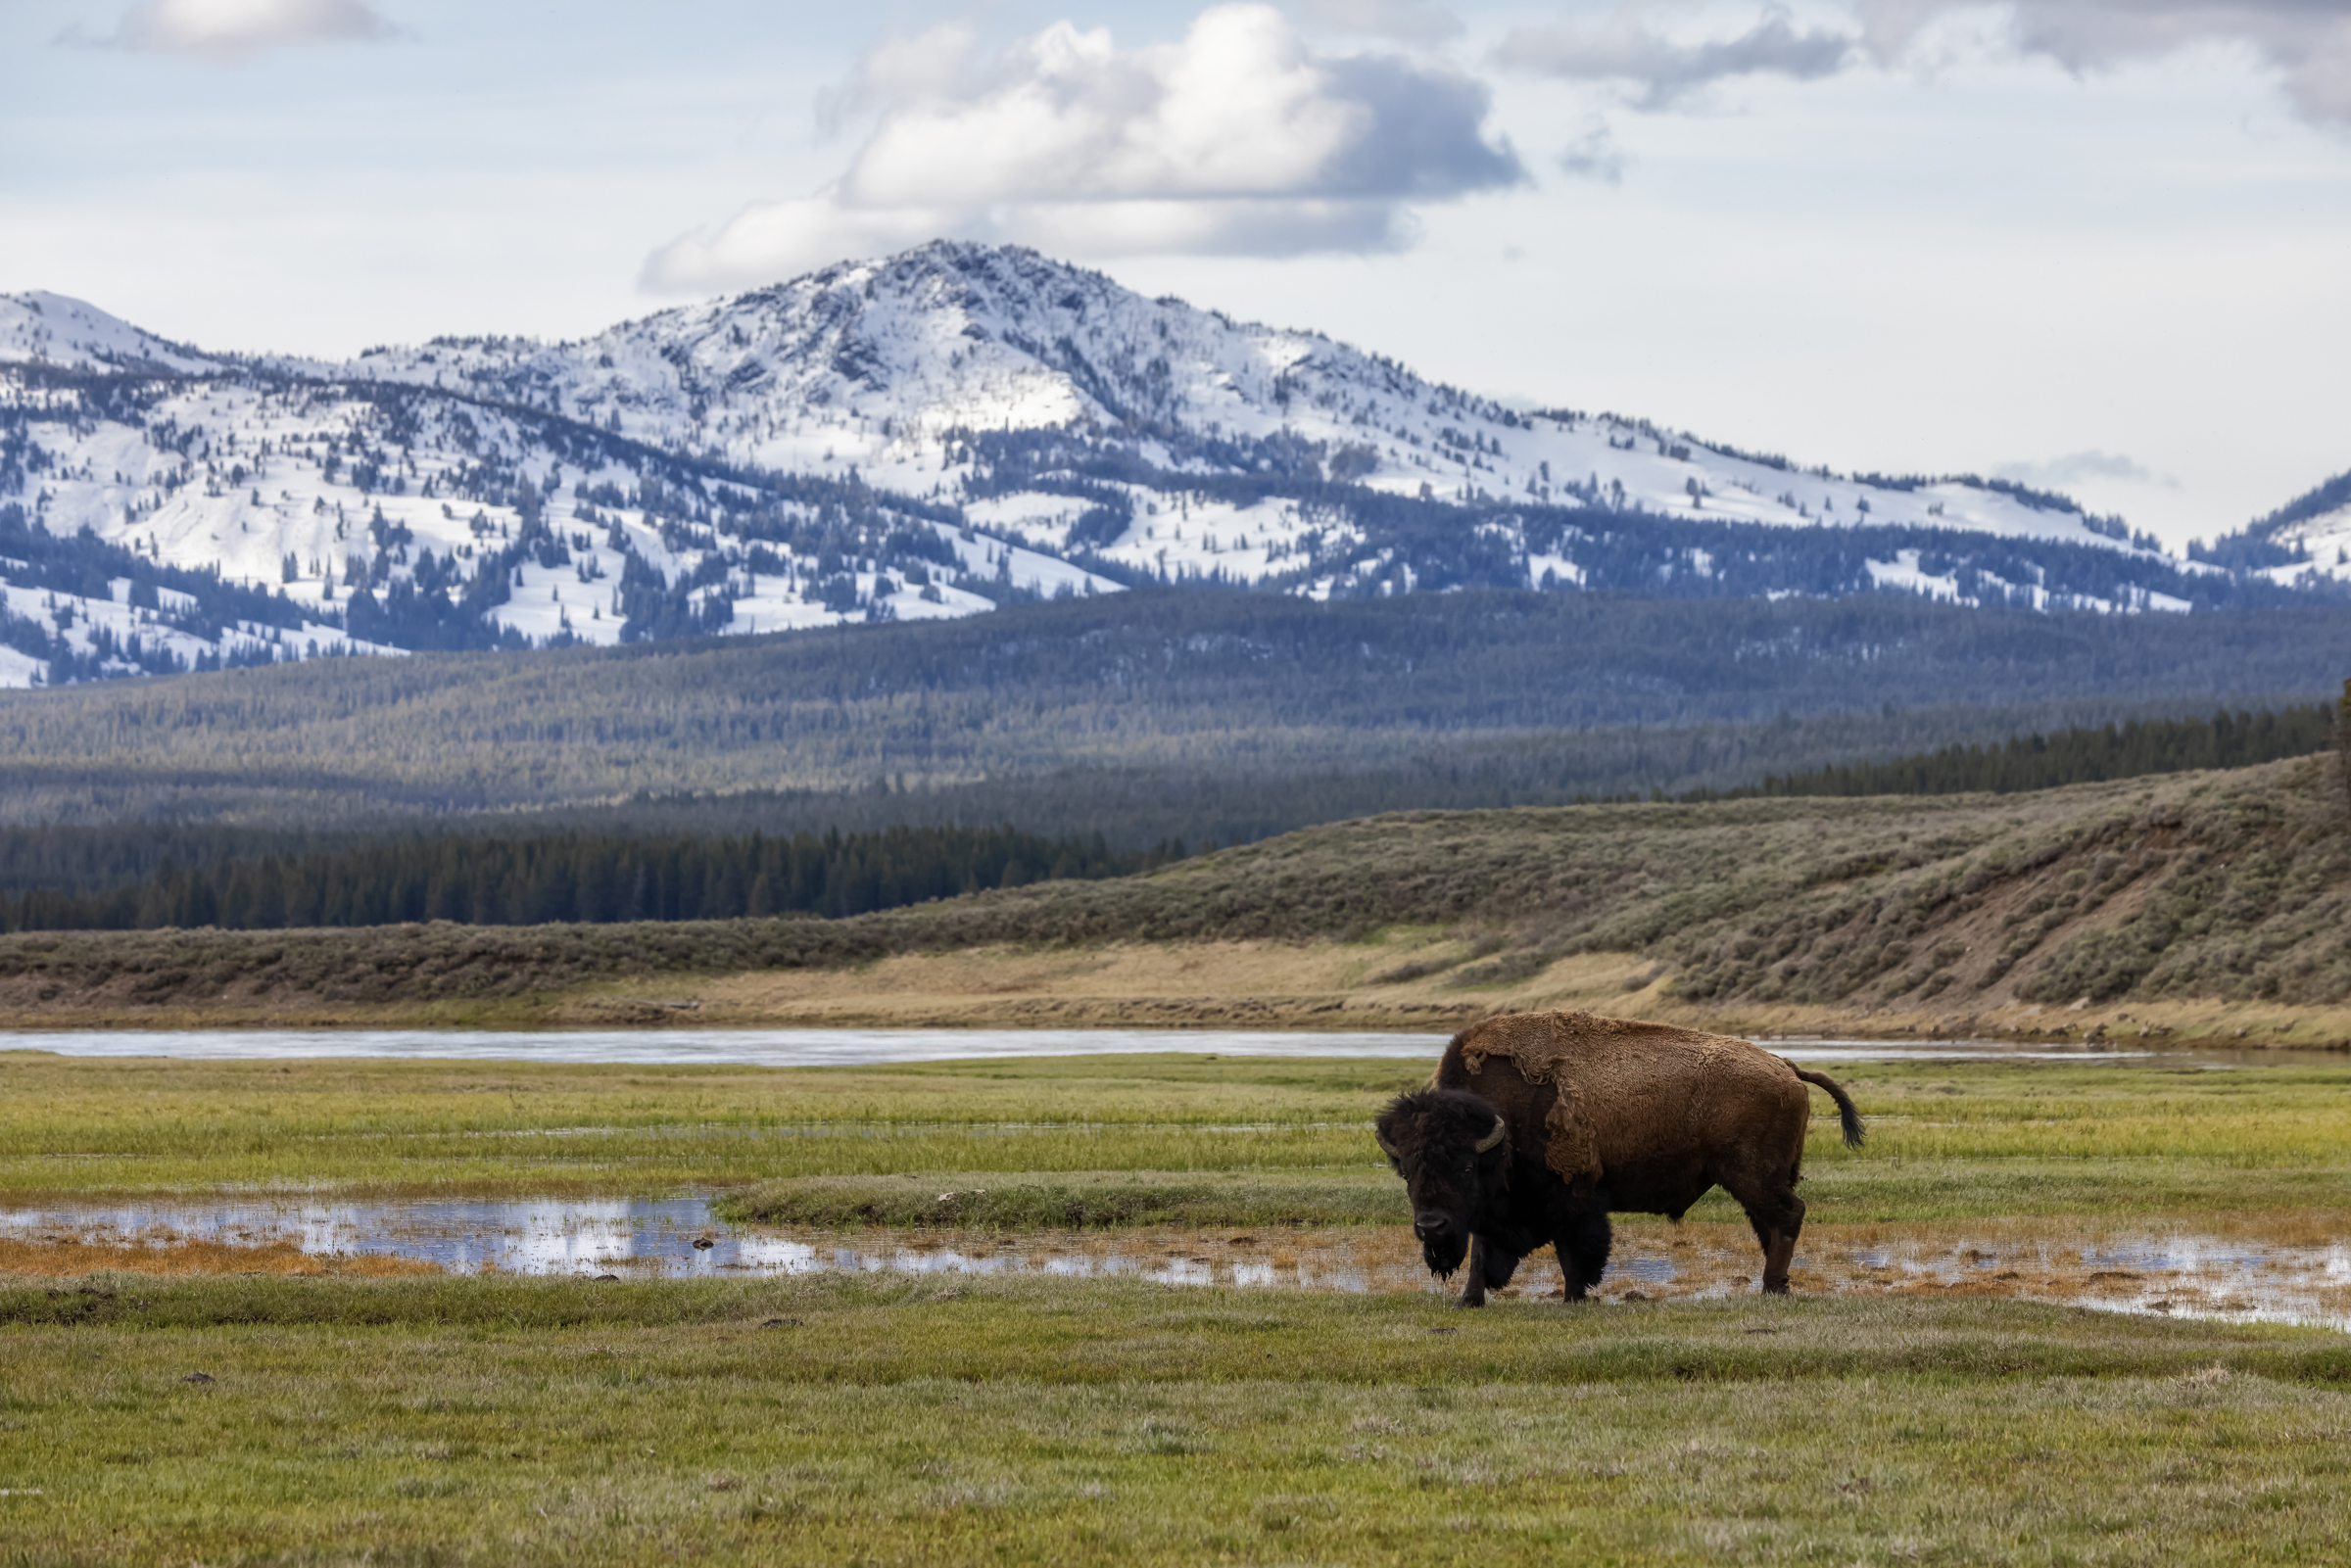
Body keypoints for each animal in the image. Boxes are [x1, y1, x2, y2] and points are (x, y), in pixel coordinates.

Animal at [1372, 1011, 1852, 1307]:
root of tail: (1785, 1066)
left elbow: (1573, 1252)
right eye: (1408, 1172)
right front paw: (1467, 1302)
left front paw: (1574, 1297)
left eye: (1466, 1167)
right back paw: (1775, 1285)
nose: (1431, 1227)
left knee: (1787, 1216)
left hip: (1751, 1174)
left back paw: (1772, 1289)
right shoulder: (1491, 1210)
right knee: (1770, 1224)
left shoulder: (1570, 1197)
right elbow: (1481, 1250)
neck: (1504, 1119)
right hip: (1759, 1178)